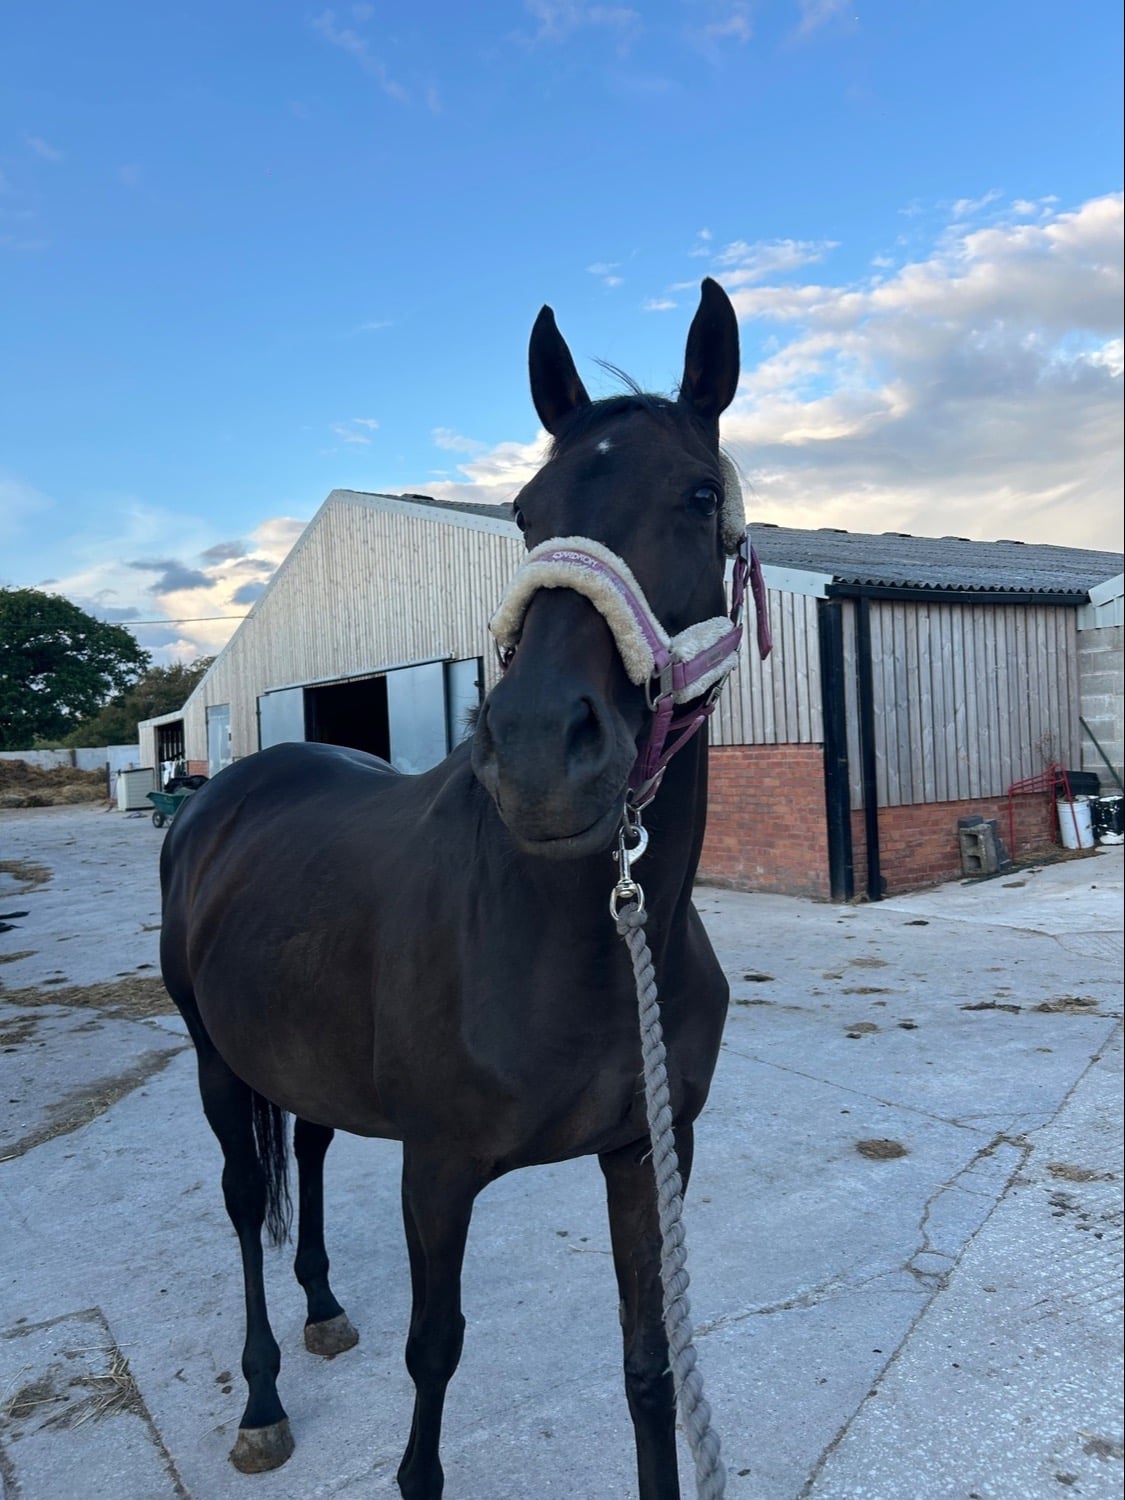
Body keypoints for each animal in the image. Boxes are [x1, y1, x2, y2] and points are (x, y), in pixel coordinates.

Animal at [159, 276, 752, 1500]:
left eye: (697, 494)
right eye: (524, 513)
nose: (534, 751)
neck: (582, 943)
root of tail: (216, 792)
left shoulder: (646, 1151)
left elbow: (649, 1369)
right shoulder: (437, 1172)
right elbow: (433, 1355)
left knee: (313, 1148)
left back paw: (324, 1306)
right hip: (214, 1060)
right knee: (244, 1201)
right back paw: (262, 1399)